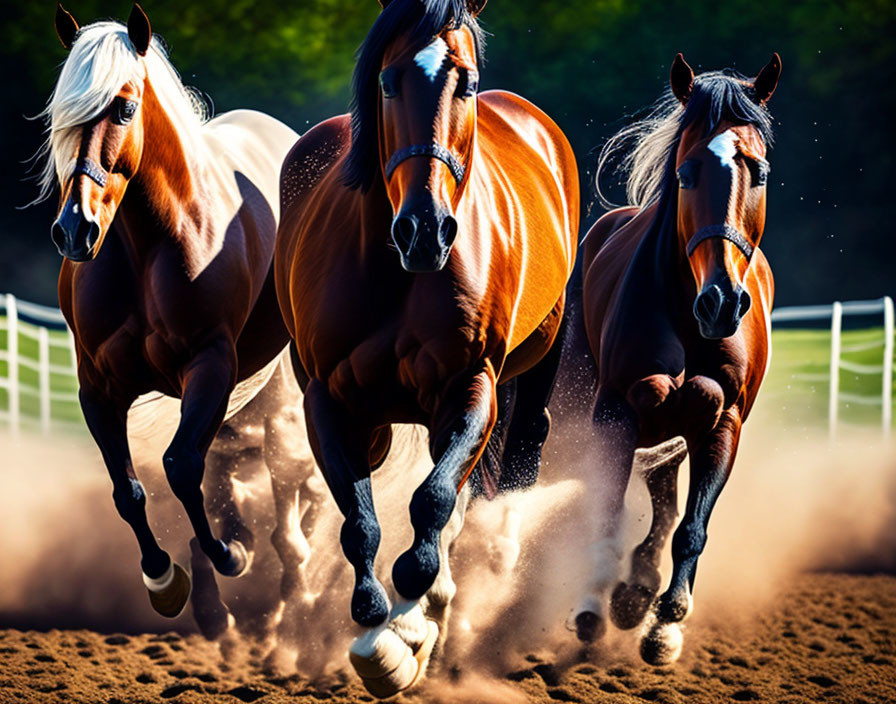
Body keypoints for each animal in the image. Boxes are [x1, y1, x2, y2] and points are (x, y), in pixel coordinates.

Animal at [43, 4, 318, 628]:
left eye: (124, 107)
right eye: (60, 113)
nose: (75, 230)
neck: (150, 244)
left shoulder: (210, 366)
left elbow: (181, 464)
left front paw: (230, 554)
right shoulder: (98, 387)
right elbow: (129, 489)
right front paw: (164, 578)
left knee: (284, 474)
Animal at [276, 0, 576, 692]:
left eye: (464, 82)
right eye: (388, 81)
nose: (425, 228)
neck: (398, 271)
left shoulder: (469, 388)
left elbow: (434, 503)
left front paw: (412, 625)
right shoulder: (328, 402)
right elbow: (360, 523)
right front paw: (374, 635)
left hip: (538, 358)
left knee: (517, 449)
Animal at [572, 52, 780, 664]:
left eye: (759, 171)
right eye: (687, 173)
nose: (722, 302)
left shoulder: (722, 424)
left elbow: (691, 525)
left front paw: (665, 623)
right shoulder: (616, 414)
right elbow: (606, 509)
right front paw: (591, 606)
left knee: (665, 507)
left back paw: (638, 592)